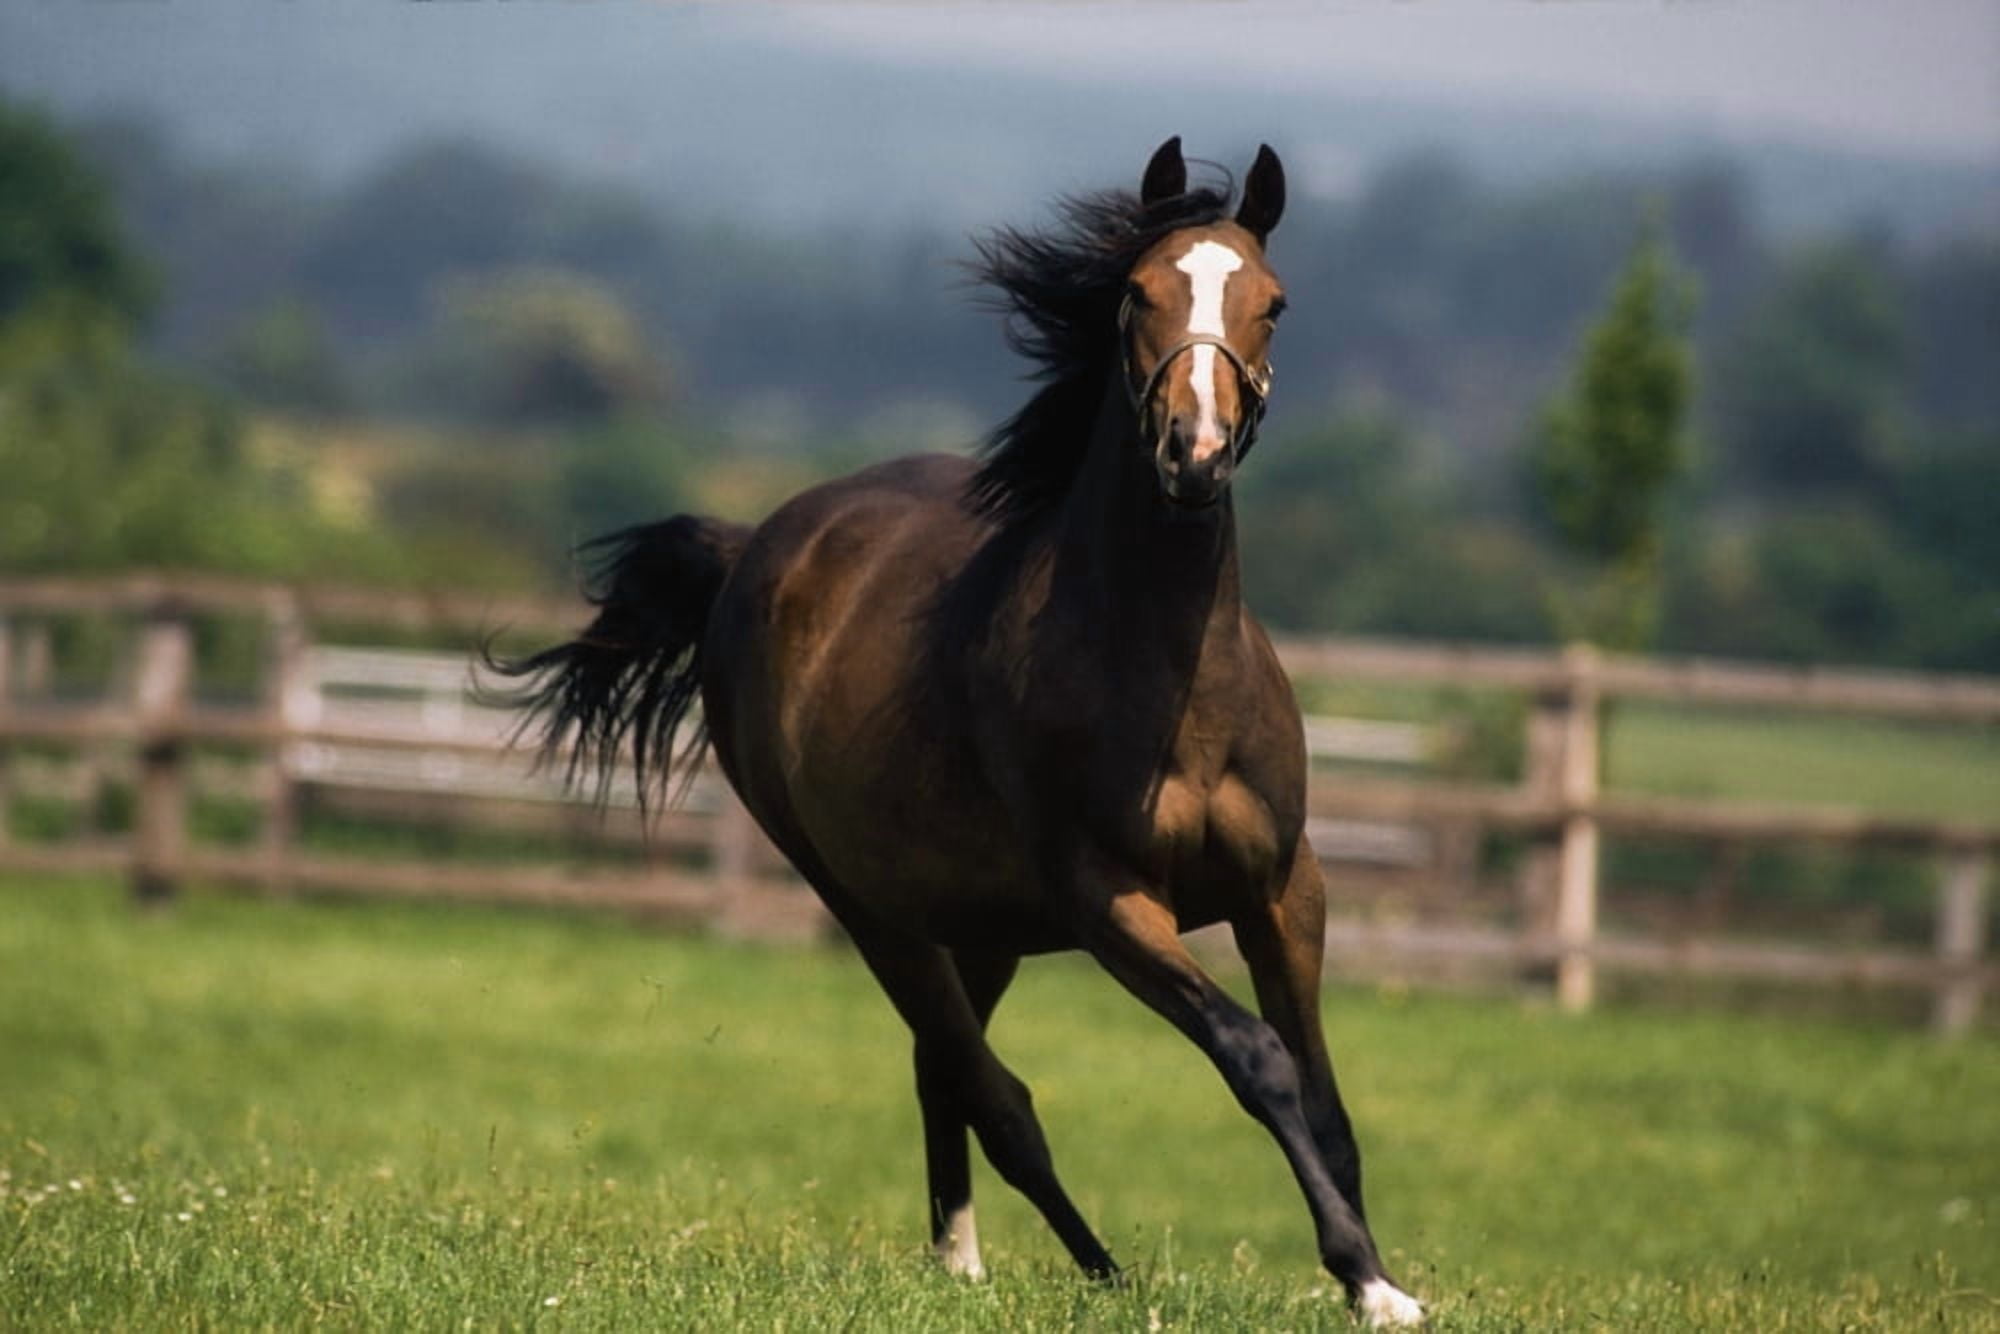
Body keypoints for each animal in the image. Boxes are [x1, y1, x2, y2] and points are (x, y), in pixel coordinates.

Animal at [498, 137, 1425, 1328]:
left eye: (1273, 302)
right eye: (1136, 292)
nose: (1196, 452)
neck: (1174, 683)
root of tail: (754, 549)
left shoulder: (1283, 888)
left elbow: (1324, 1098)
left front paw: (1380, 1277)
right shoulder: (1113, 903)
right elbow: (1254, 1058)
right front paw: (1364, 1277)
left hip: (979, 923)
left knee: (945, 1067)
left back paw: (979, 1258)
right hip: (872, 908)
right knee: (989, 1088)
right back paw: (1082, 1269)